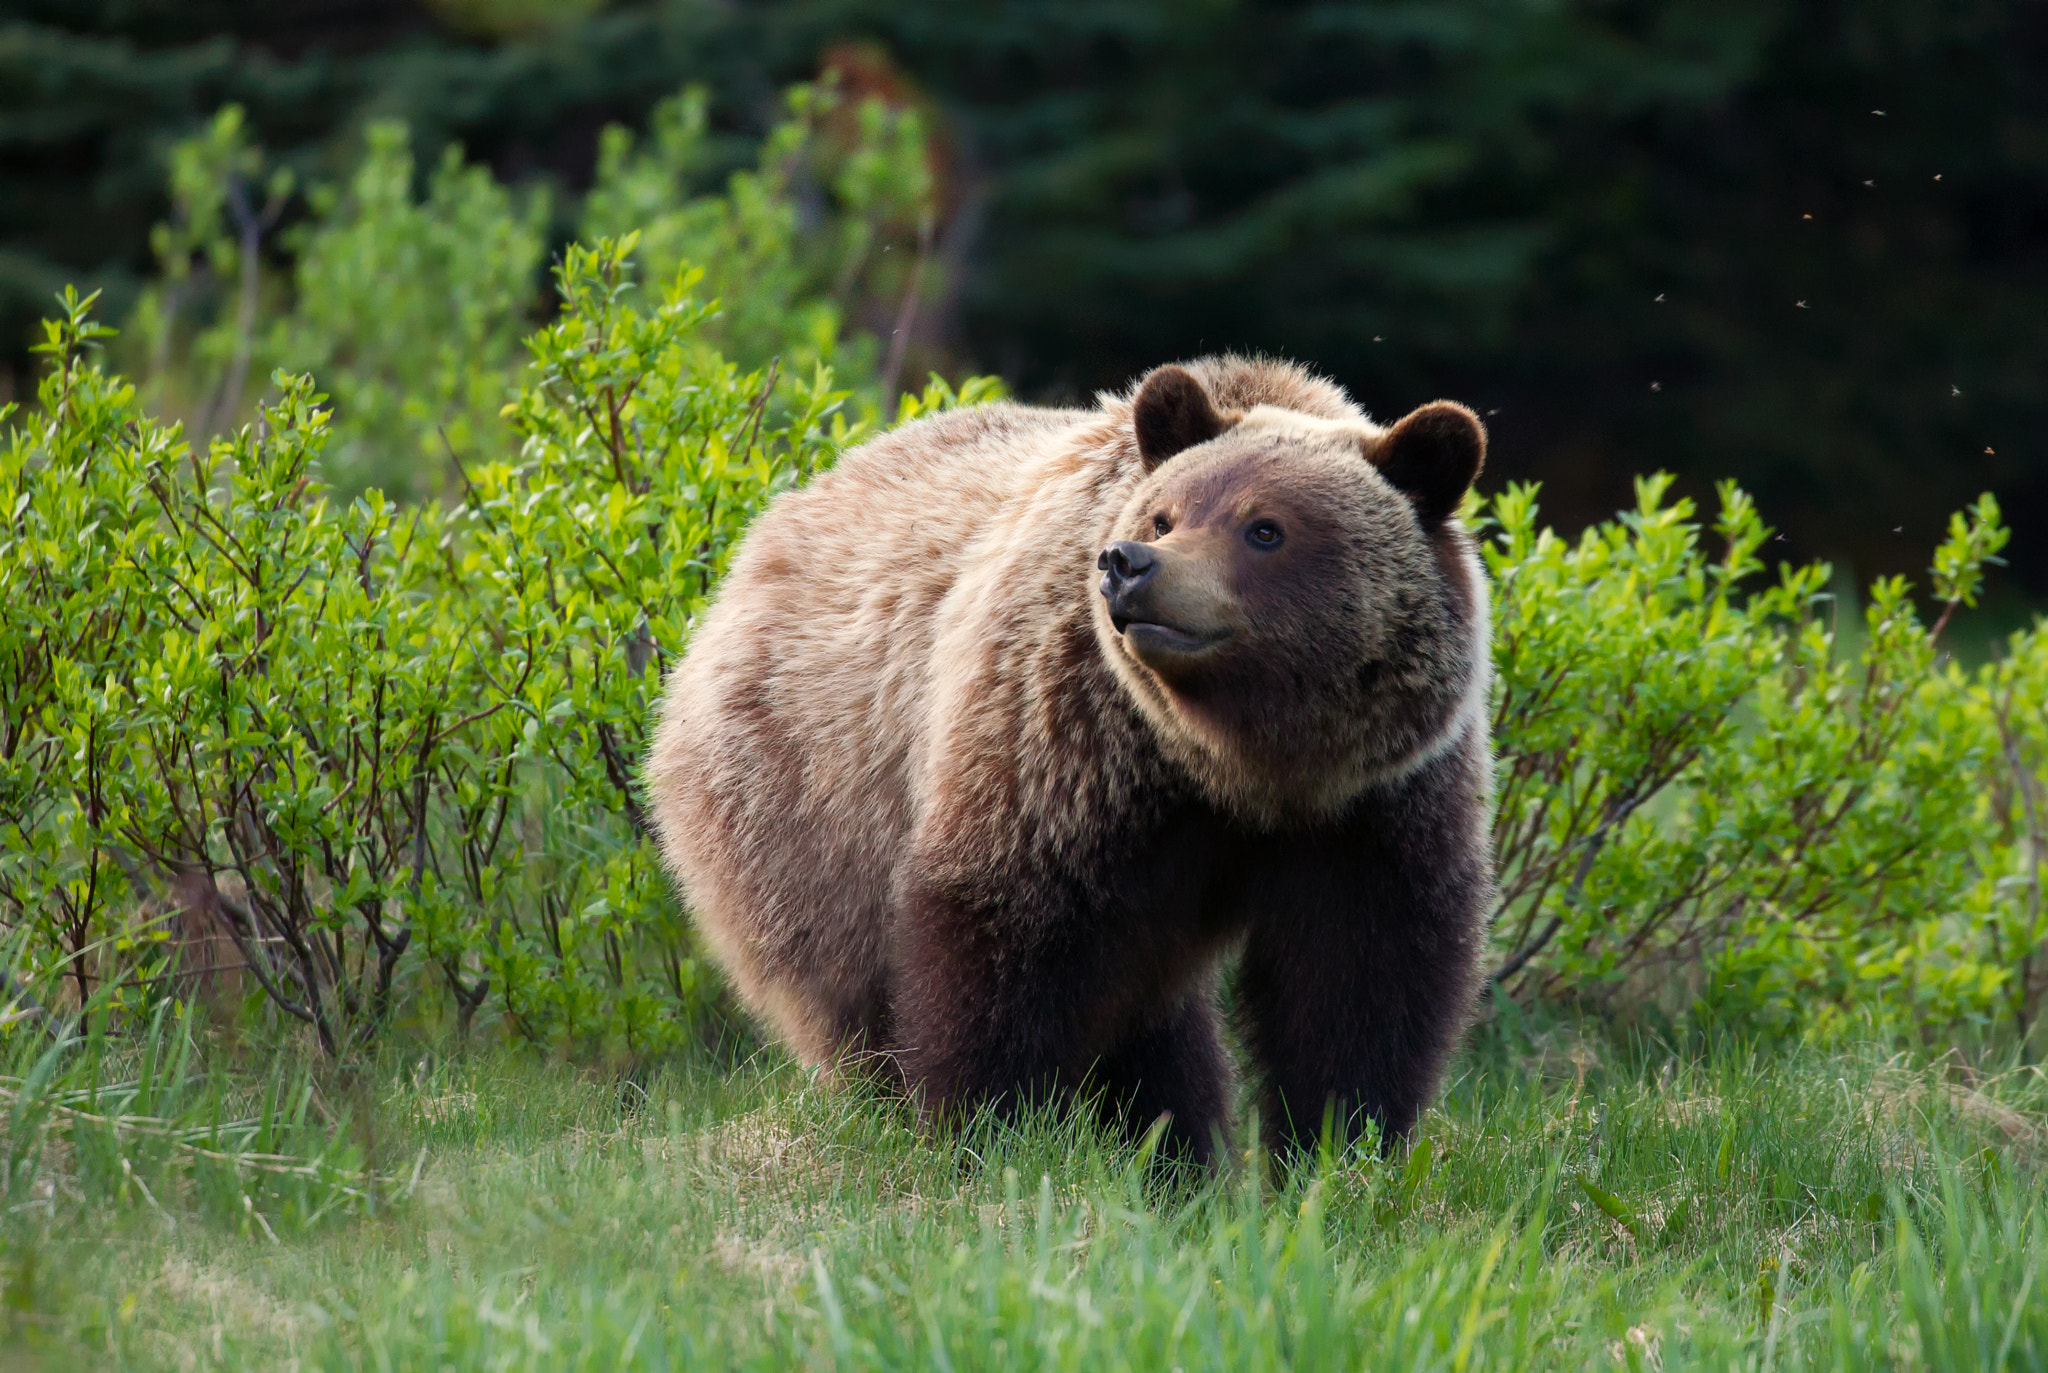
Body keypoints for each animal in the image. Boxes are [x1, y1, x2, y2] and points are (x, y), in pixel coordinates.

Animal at [645, 355, 1495, 1162]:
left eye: (1265, 527)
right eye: (1164, 512)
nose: (1131, 562)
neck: (1239, 763)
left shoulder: (1378, 801)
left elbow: (1360, 979)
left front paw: (1338, 1147)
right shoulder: (1068, 739)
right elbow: (1006, 926)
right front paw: (984, 1125)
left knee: (1151, 1020)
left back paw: (1172, 1152)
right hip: (806, 799)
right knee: (852, 987)